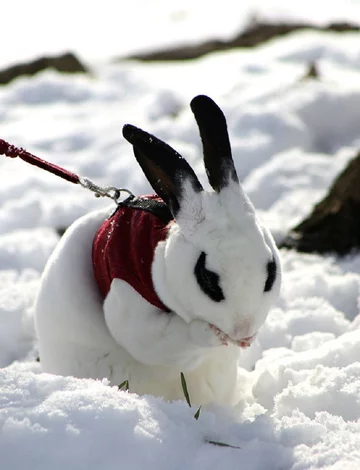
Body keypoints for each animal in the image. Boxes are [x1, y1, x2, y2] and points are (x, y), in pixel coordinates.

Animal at [34, 94, 282, 404]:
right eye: (207, 278)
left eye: (271, 272)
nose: (244, 332)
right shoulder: (129, 301)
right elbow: (159, 340)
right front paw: (212, 335)